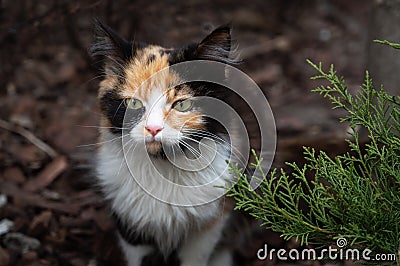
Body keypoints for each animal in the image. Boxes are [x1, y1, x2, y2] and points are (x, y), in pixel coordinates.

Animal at [91, 21, 241, 266]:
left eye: (181, 105)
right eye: (133, 103)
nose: (153, 129)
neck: (163, 168)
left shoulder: (208, 226)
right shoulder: (130, 225)